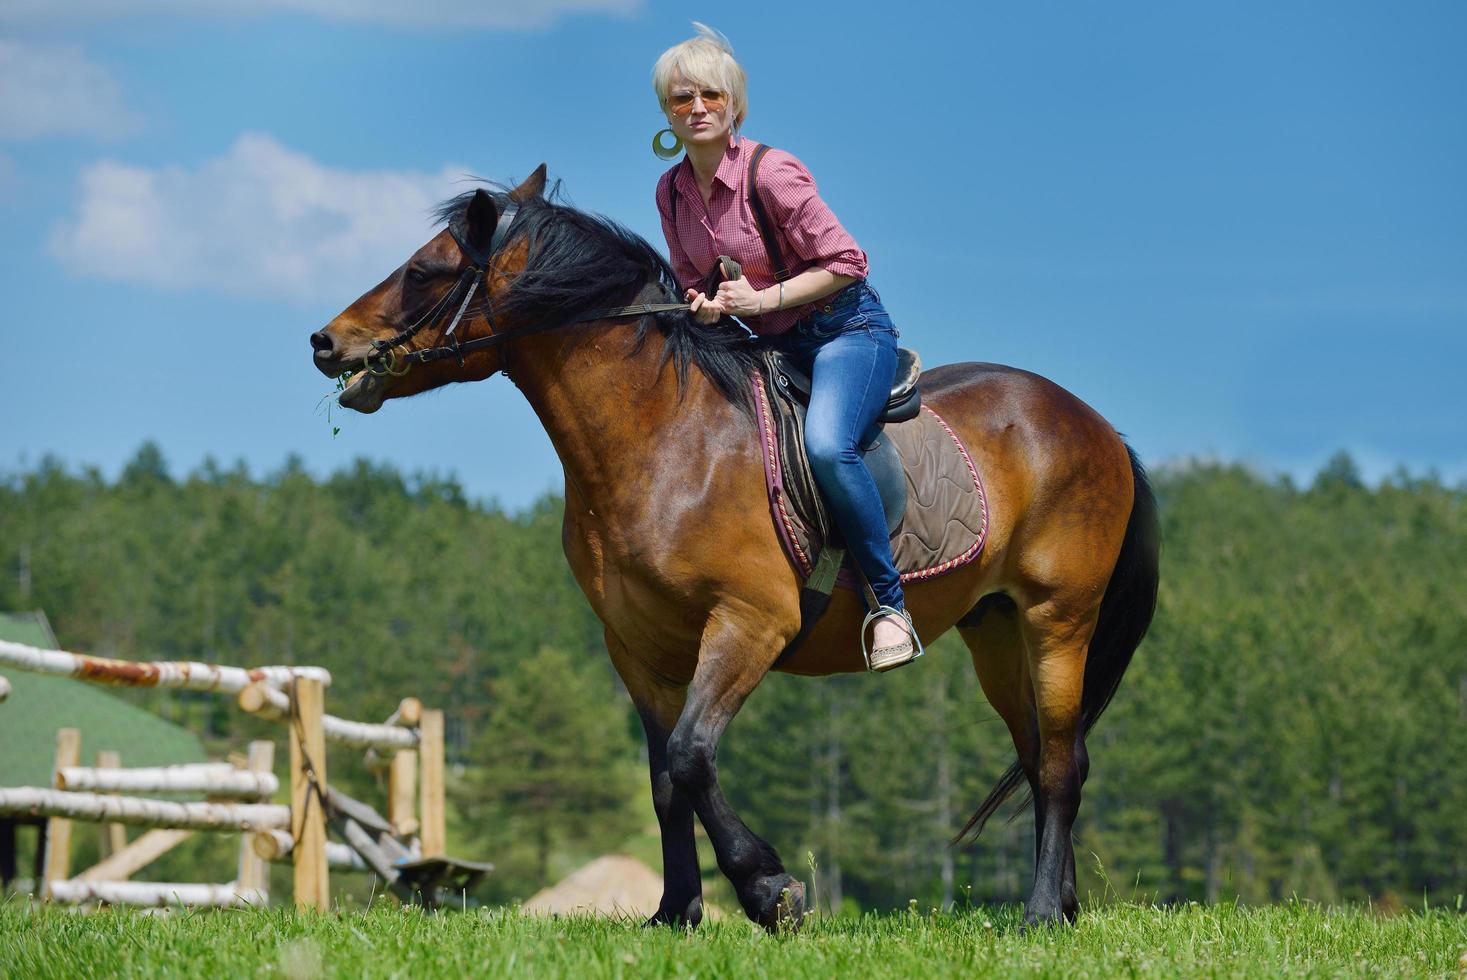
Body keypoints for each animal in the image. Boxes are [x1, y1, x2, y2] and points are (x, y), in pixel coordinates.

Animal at [306, 168, 1155, 927]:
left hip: (1056, 620)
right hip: (996, 630)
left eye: (425, 270)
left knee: (1058, 763)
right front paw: (675, 909)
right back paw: (1064, 906)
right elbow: (662, 780)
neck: (663, 439)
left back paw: (1039, 914)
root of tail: (1094, 423)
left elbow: (691, 755)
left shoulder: (750, 622)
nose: (324, 340)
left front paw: (768, 889)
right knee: (1045, 753)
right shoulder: (637, 647)